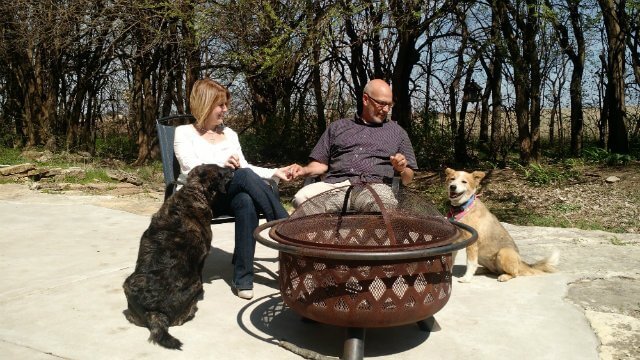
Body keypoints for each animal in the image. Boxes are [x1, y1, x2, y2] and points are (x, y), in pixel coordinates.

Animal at [122, 165, 232, 348]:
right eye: (221, 171)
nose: (233, 168)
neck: (193, 191)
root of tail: (155, 312)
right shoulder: (202, 258)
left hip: (128, 284)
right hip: (194, 286)